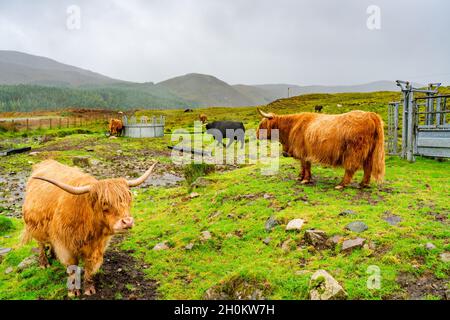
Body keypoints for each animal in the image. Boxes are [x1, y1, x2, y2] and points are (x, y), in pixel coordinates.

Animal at [22, 160, 157, 298]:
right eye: (104, 203)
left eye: (128, 200)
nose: (127, 222)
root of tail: (46, 161)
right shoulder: (65, 246)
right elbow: (72, 267)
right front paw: (73, 291)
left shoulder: (97, 247)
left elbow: (90, 268)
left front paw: (89, 289)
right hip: (36, 227)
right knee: (40, 243)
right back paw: (44, 263)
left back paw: (53, 255)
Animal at [256, 109, 384, 189]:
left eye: (262, 124)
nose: (256, 134)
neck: (291, 127)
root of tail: (370, 114)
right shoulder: (303, 152)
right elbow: (303, 166)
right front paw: (301, 177)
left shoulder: (303, 151)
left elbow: (306, 165)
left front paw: (305, 179)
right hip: (369, 152)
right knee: (368, 167)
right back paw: (363, 184)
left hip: (354, 151)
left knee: (351, 168)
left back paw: (341, 184)